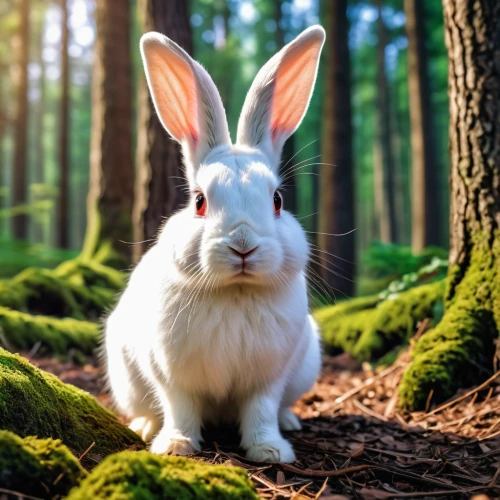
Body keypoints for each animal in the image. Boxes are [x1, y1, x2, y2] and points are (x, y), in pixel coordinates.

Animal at [103, 23, 326, 462]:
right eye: (199, 202)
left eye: (277, 201)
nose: (243, 244)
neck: (233, 291)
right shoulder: (172, 375)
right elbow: (180, 408)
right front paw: (175, 446)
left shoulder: (267, 379)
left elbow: (261, 411)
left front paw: (270, 451)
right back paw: (144, 426)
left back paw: (291, 421)